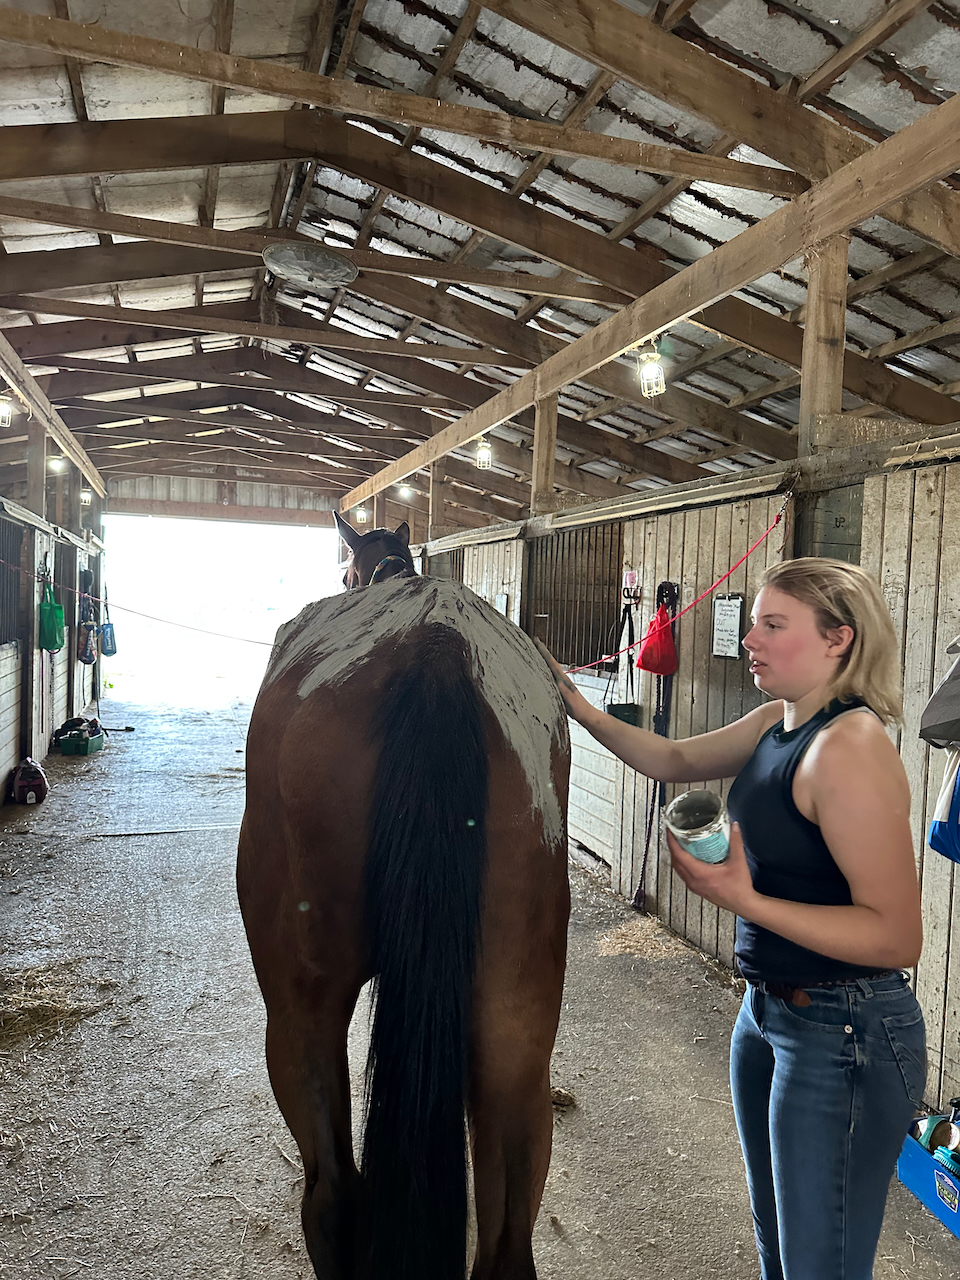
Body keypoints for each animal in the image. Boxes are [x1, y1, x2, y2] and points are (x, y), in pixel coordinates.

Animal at [237, 513, 571, 1280]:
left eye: (345, 570)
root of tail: (436, 656)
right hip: (514, 1031)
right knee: (507, 1246)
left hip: (299, 1011)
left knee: (332, 1198)